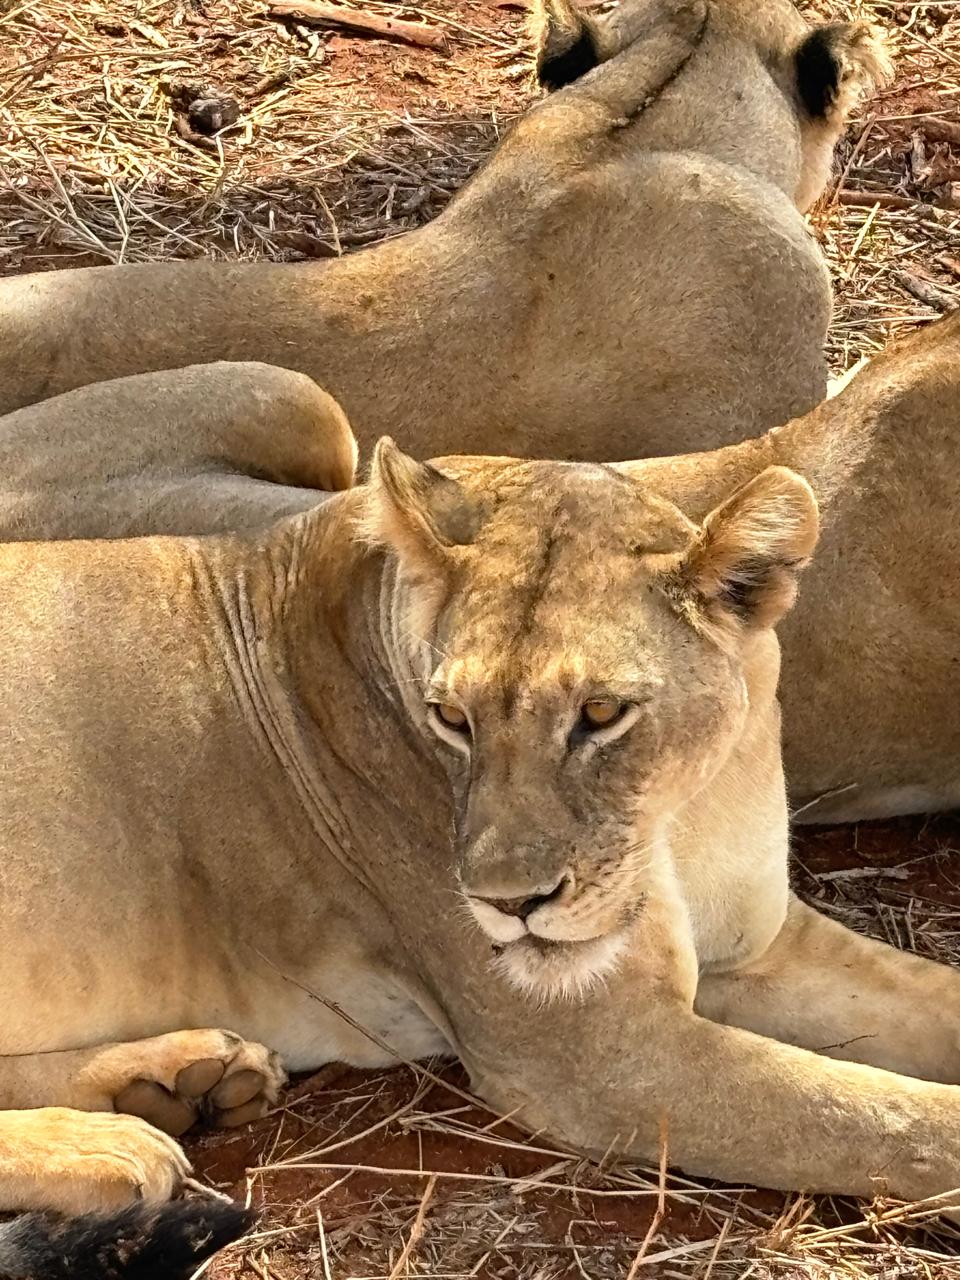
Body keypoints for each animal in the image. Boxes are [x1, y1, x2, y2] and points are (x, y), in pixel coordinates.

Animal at [5, 380, 960, 1275]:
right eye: (452, 718)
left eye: (601, 713)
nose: (508, 904)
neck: (685, 812)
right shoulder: (595, 1059)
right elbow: (884, 1117)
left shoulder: (759, 950)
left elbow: (928, 1011)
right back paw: (111, 1144)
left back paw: (180, 1082)